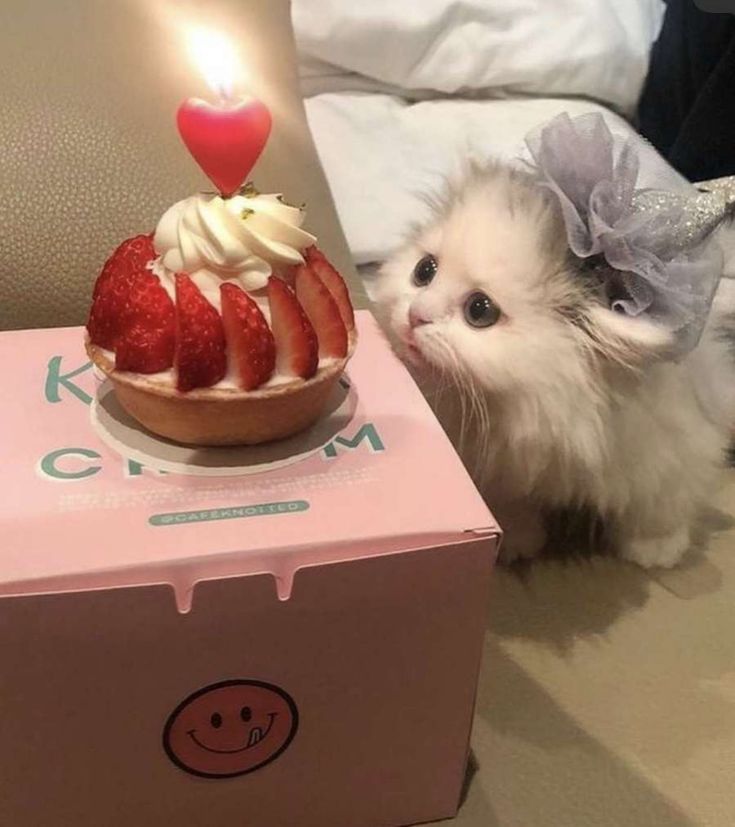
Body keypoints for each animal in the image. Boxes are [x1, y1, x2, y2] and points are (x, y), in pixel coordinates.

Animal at [374, 168, 735, 568]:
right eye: (424, 271)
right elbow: (509, 503)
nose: (415, 315)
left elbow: (659, 505)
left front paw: (656, 549)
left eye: (479, 311)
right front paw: (517, 541)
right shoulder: (496, 463)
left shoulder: (673, 446)